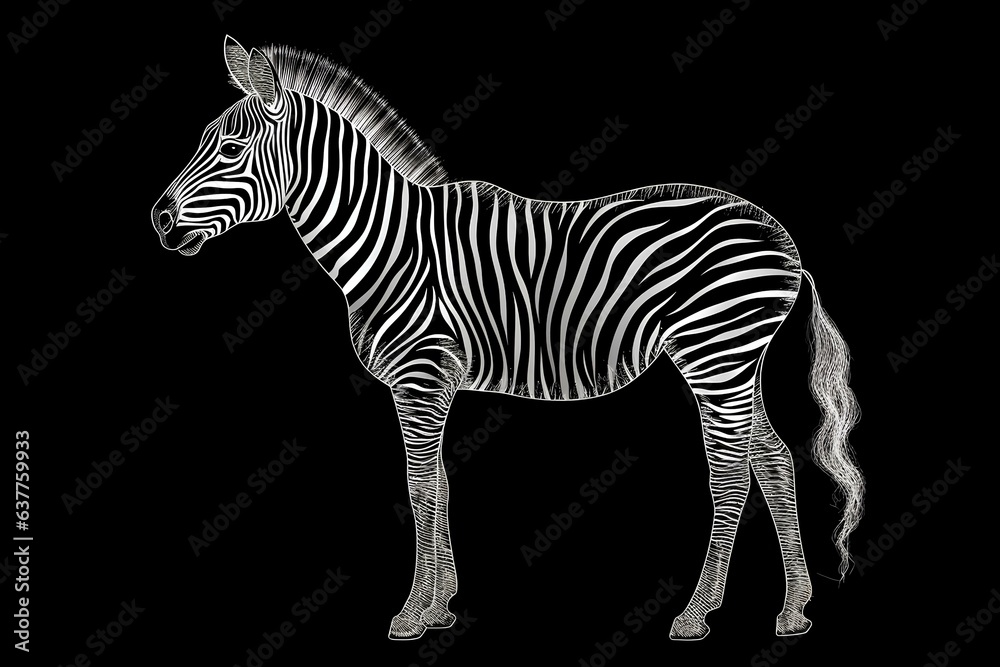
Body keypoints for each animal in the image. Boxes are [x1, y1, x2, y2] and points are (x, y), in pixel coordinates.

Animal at [151, 36, 863, 641]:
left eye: (231, 149)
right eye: (204, 141)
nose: (158, 220)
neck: (389, 245)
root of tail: (782, 237)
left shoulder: (419, 378)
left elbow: (419, 488)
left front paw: (412, 613)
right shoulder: (431, 385)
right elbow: (438, 484)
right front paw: (441, 605)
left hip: (715, 352)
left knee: (731, 472)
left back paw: (694, 614)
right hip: (735, 361)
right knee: (774, 459)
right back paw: (793, 610)